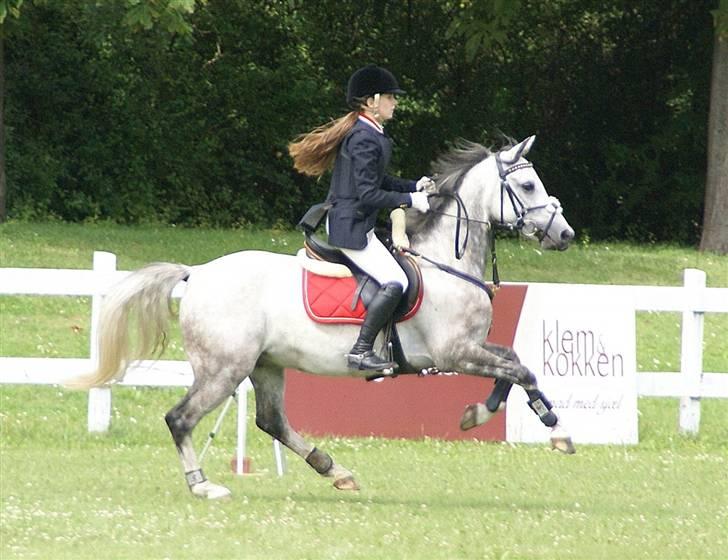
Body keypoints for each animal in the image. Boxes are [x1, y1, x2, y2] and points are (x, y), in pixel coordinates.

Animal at [74, 136, 576, 498]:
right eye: (528, 187)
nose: (565, 235)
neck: (444, 263)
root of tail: (196, 274)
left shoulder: (470, 347)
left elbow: (513, 363)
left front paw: (488, 414)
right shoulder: (454, 352)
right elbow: (519, 370)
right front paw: (548, 428)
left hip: (266, 364)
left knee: (272, 421)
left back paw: (335, 470)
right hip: (224, 368)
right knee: (181, 419)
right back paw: (203, 485)